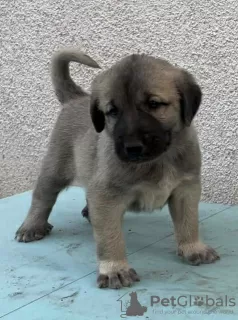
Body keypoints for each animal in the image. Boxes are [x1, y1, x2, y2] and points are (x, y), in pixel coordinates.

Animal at [14, 48, 219, 290]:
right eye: (112, 111)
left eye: (154, 104)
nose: (132, 147)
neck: (157, 161)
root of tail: (76, 98)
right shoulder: (107, 195)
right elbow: (110, 237)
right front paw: (115, 269)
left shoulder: (185, 189)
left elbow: (189, 222)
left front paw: (193, 248)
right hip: (55, 168)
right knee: (41, 198)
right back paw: (31, 226)